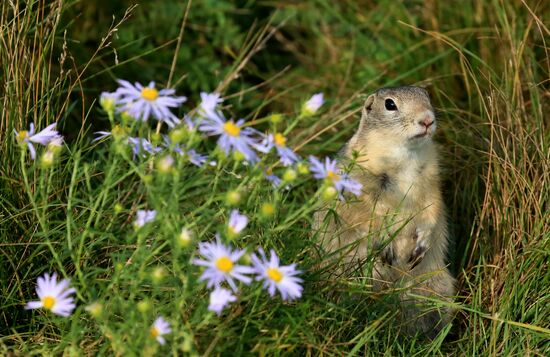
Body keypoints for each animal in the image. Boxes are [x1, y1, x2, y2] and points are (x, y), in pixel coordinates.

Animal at [314, 85, 458, 336]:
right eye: (390, 104)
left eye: (426, 95)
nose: (427, 120)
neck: (405, 154)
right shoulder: (362, 184)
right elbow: (369, 214)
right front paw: (387, 243)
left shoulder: (431, 181)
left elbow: (432, 208)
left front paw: (422, 243)